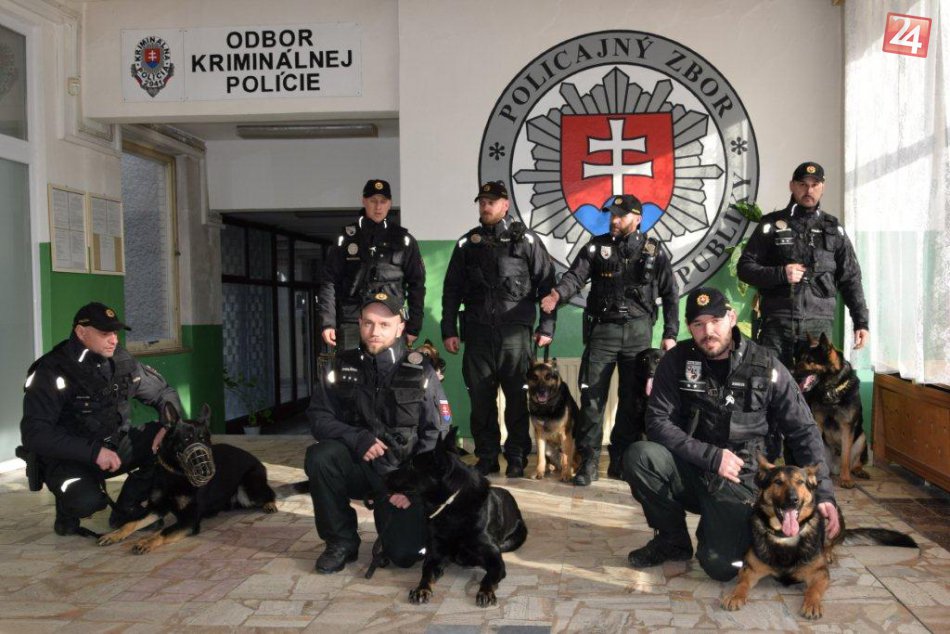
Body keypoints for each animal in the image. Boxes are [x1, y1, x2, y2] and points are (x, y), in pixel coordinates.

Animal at [98, 402, 277, 553]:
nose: (205, 471)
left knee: (270, 493)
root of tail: (257, 461)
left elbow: (164, 531)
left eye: (204, 439)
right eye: (186, 439)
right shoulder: (157, 508)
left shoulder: (189, 520)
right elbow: (131, 523)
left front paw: (146, 541)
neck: (175, 474)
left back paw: (269, 504)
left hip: (247, 491)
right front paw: (114, 534)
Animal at [386, 427, 528, 607]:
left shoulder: (495, 560)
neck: (452, 505)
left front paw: (486, 592)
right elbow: (426, 574)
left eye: (412, 465)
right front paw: (421, 589)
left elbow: (487, 578)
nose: (383, 477)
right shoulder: (435, 555)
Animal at [722, 457, 916, 619]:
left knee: (831, 543)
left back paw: (828, 553)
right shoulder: (750, 569)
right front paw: (734, 594)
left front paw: (812, 604)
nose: (792, 499)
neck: (786, 538)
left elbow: (813, 590)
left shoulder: (820, 573)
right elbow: (741, 583)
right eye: (778, 482)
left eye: (800, 482)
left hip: (831, 516)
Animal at [793, 332, 868, 489]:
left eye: (810, 360)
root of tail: (834, 469)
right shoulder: (818, 423)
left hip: (862, 437)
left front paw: (846, 479)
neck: (831, 391)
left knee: (854, 462)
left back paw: (858, 470)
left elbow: (846, 456)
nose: (791, 372)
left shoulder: (847, 427)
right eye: (799, 358)